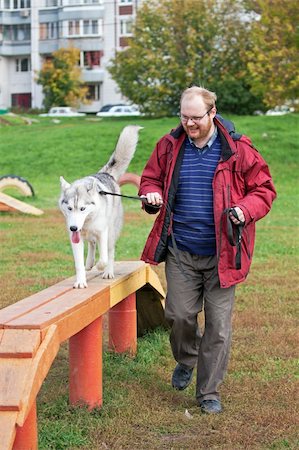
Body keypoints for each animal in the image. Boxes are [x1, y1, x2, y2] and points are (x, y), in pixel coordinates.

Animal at [59, 125, 143, 288]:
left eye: (82, 209)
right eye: (70, 208)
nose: (73, 228)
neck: (86, 223)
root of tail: (105, 174)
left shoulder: (102, 232)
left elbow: (104, 258)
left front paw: (100, 266)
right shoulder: (76, 239)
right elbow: (78, 264)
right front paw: (81, 281)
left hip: (110, 232)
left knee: (109, 252)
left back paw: (108, 272)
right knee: (92, 243)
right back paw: (89, 262)